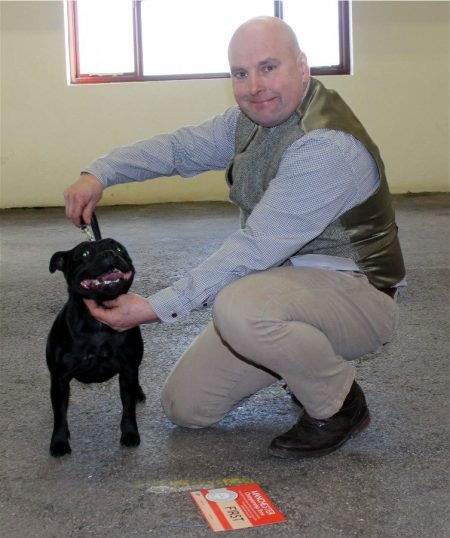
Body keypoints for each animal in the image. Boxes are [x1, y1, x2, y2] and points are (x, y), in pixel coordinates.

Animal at [46, 238, 145, 457]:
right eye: (84, 254)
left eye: (118, 248)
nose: (109, 253)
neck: (97, 325)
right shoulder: (59, 379)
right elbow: (59, 414)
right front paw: (59, 442)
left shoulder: (127, 371)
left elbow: (128, 408)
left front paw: (130, 434)